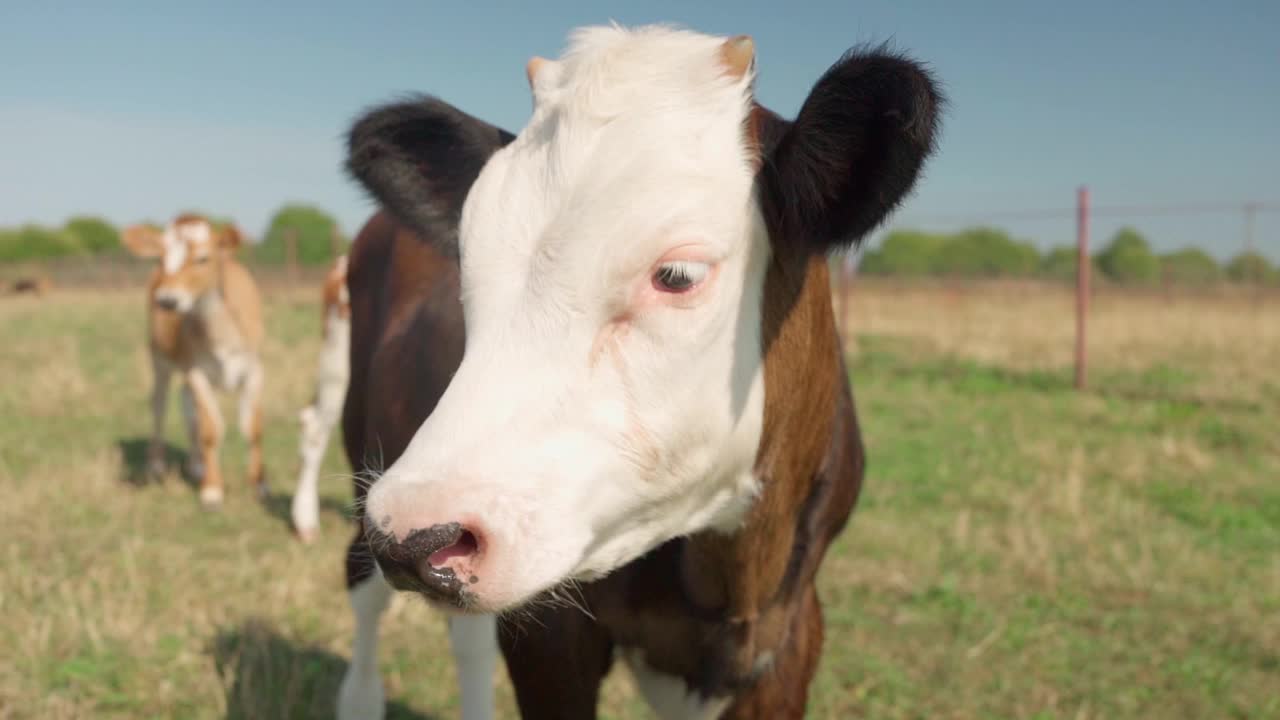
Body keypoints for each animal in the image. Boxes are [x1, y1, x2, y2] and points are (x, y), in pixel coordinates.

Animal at [122, 212, 267, 509]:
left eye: (203, 258)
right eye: (160, 258)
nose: (167, 300)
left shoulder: (255, 370)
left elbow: (253, 428)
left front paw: (258, 485)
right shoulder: (197, 371)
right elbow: (210, 430)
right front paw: (212, 490)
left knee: (187, 408)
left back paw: (196, 464)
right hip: (159, 358)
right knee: (160, 403)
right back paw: (158, 464)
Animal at [335, 23, 947, 717]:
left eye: (677, 274)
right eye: (468, 260)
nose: (415, 530)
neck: (733, 584)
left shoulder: (791, 639)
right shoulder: (552, 637)